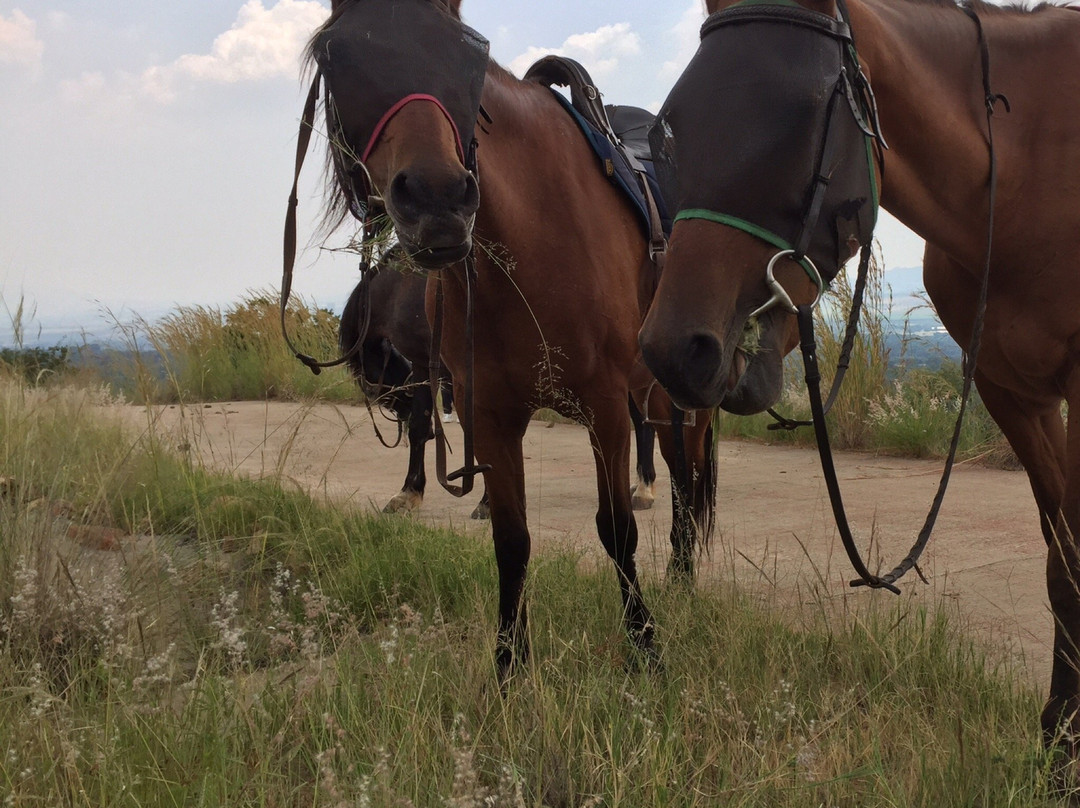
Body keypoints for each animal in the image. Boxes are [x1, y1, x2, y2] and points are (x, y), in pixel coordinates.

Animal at [340, 243, 661, 520]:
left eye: (372, 379)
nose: (400, 413)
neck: (405, 289)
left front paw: (486, 502)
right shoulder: (424, 366)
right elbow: (424, 427)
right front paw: (409, 493)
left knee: (642, 421)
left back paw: (644, 489)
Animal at [638, 0, 1080, 764]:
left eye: (797, 115)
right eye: (674, 128)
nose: (674, 351)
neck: (1027, 174)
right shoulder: (1013, 394)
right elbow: (1063, 569)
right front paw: (1058, 746)